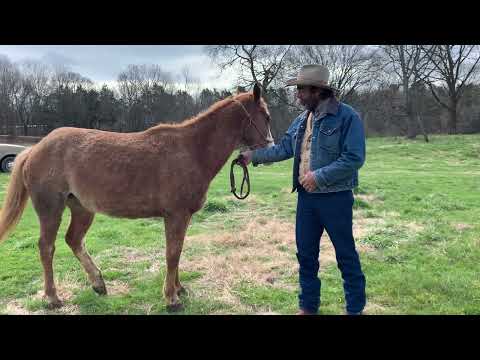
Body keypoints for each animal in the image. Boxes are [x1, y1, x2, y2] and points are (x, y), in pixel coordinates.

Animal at [0, 83, 274, 310]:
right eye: (266, 116)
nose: (271, 147)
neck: (191, 150)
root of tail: (34, 149)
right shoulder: (175, 215)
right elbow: (172, 253)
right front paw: (171, 298)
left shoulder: (182, 217)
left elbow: (178, 251)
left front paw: (179, 289)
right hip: (51, 209)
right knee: (47, 248)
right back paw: (53, 298)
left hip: (81, 208)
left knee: (74, 240)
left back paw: (98, 283)